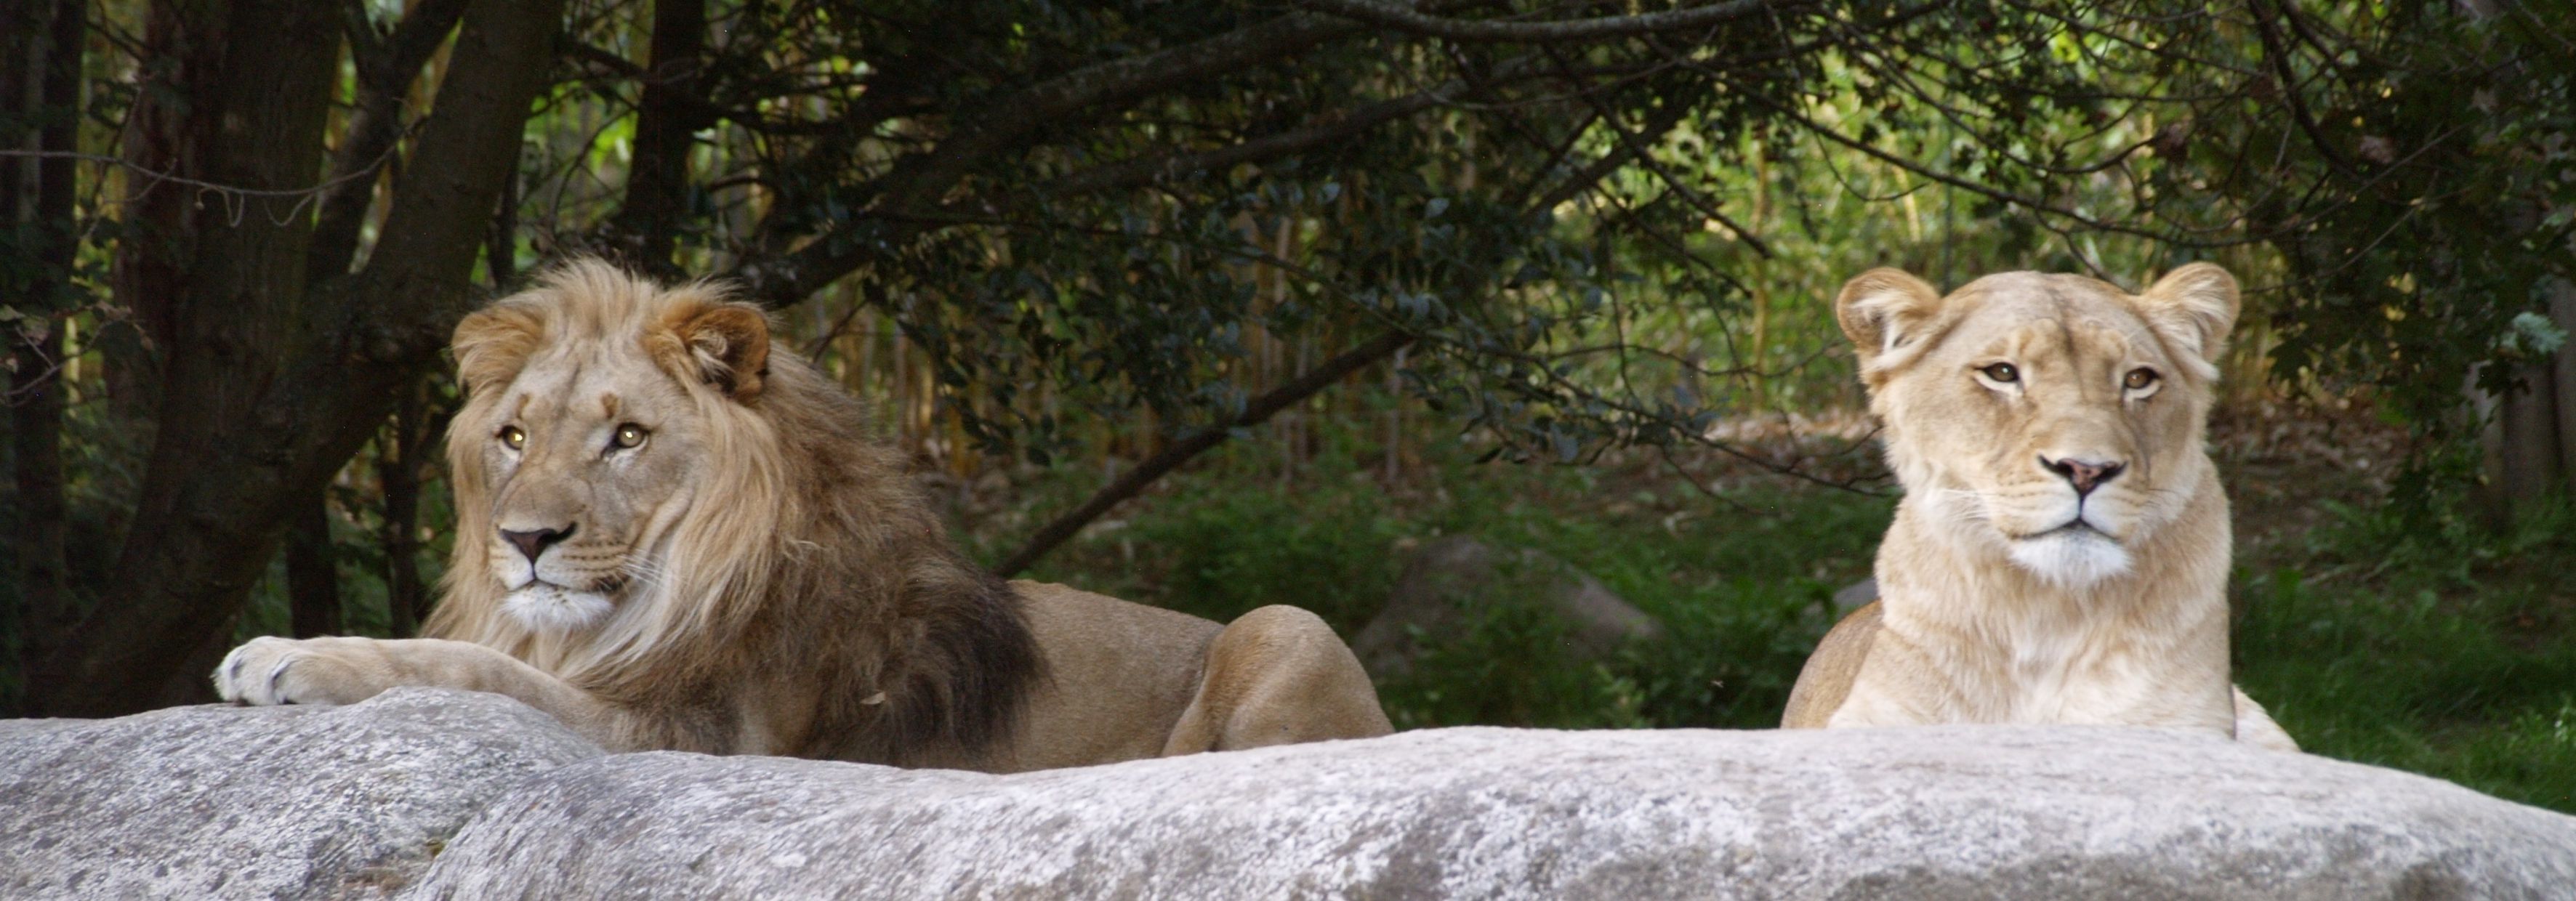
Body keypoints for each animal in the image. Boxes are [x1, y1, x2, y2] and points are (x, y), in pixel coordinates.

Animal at [219, 257, 1390, 772]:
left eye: (627, 437)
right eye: (513, 438)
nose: (526, 542)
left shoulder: (696, 735)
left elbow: (470, 667)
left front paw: (290, 654)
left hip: (1288, 624)